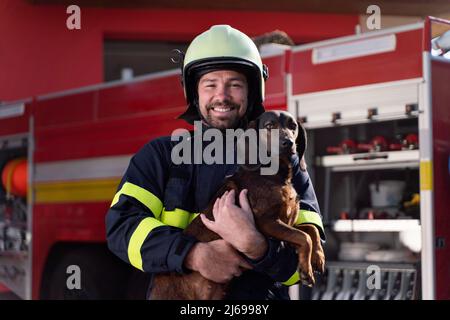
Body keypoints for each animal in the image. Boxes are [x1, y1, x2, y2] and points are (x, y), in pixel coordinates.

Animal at [150, 110, 324, 300]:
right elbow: (304, 236)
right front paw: (306, 270)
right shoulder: (267, 222)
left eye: (293, 126)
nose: (289, 143)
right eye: (269, 125)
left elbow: (311, 230)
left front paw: (318, 257)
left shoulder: (287, 223)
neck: (275, 176)